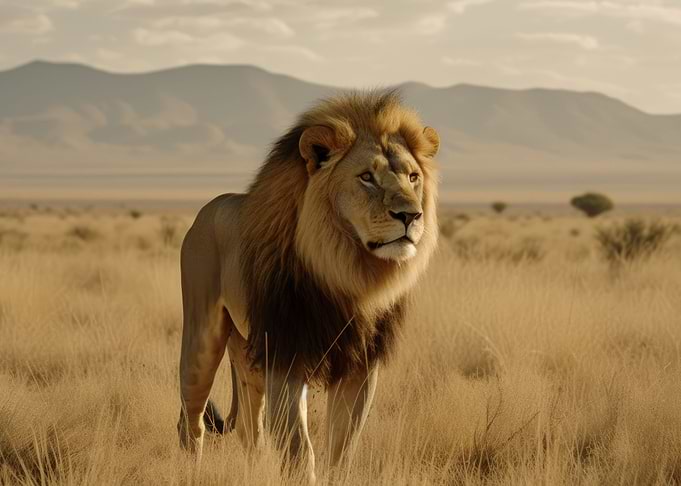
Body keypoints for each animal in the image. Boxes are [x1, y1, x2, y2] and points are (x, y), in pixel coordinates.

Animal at [177, 89, 440, 481]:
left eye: (412, 177)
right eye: (367, 177)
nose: (411, 215)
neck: (348, 273)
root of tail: (208, 209)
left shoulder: (360, 365)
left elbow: (342, 448)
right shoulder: (285, 353)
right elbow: (300, 449)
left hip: (248, 355)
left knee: (249, 429)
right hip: (203, 339)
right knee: (191, 420)